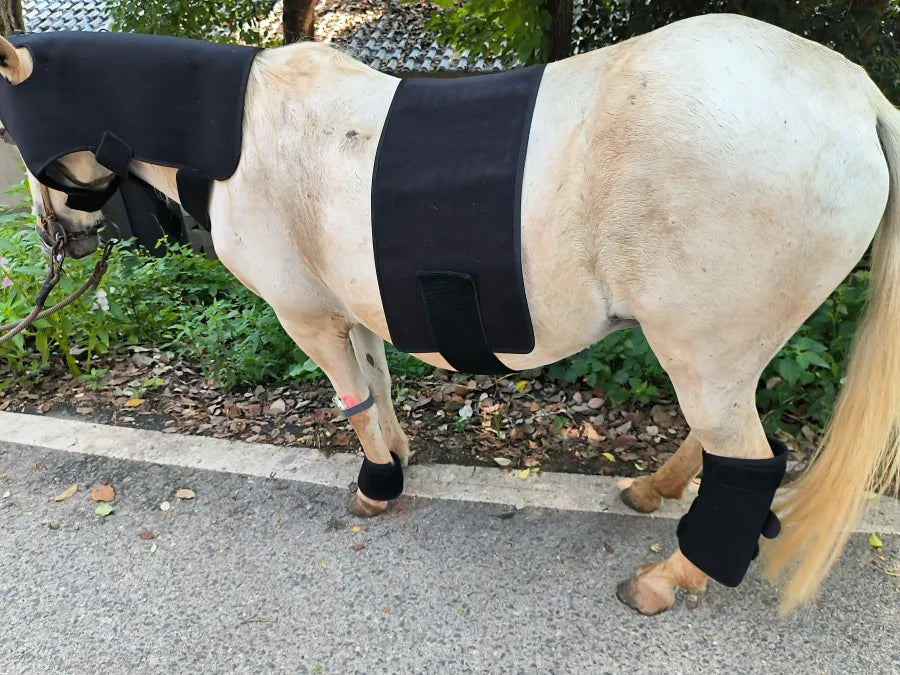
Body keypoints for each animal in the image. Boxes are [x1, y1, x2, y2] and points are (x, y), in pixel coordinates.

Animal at [0, 13, 896, 616]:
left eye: (17, 135)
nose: (55, 238)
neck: (240, 139)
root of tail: (856, 95)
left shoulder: (306, 314)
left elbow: (352, 401)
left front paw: (376, 485)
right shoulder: (352, 305)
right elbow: (379, 388)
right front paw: (399, 457)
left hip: (701, 347)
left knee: (746, 458)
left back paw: (668, 578)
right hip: (724, 347)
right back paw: (652, 492)